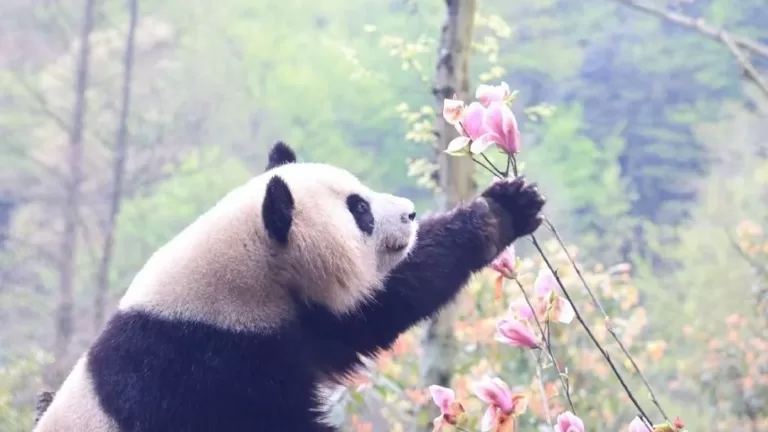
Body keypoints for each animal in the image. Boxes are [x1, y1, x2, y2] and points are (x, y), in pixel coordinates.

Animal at [33, 141, 546, 432]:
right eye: (359, 209)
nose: (409, 213)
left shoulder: (302, 317)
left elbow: (381, 302)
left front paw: (504, 209)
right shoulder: (204, 367)